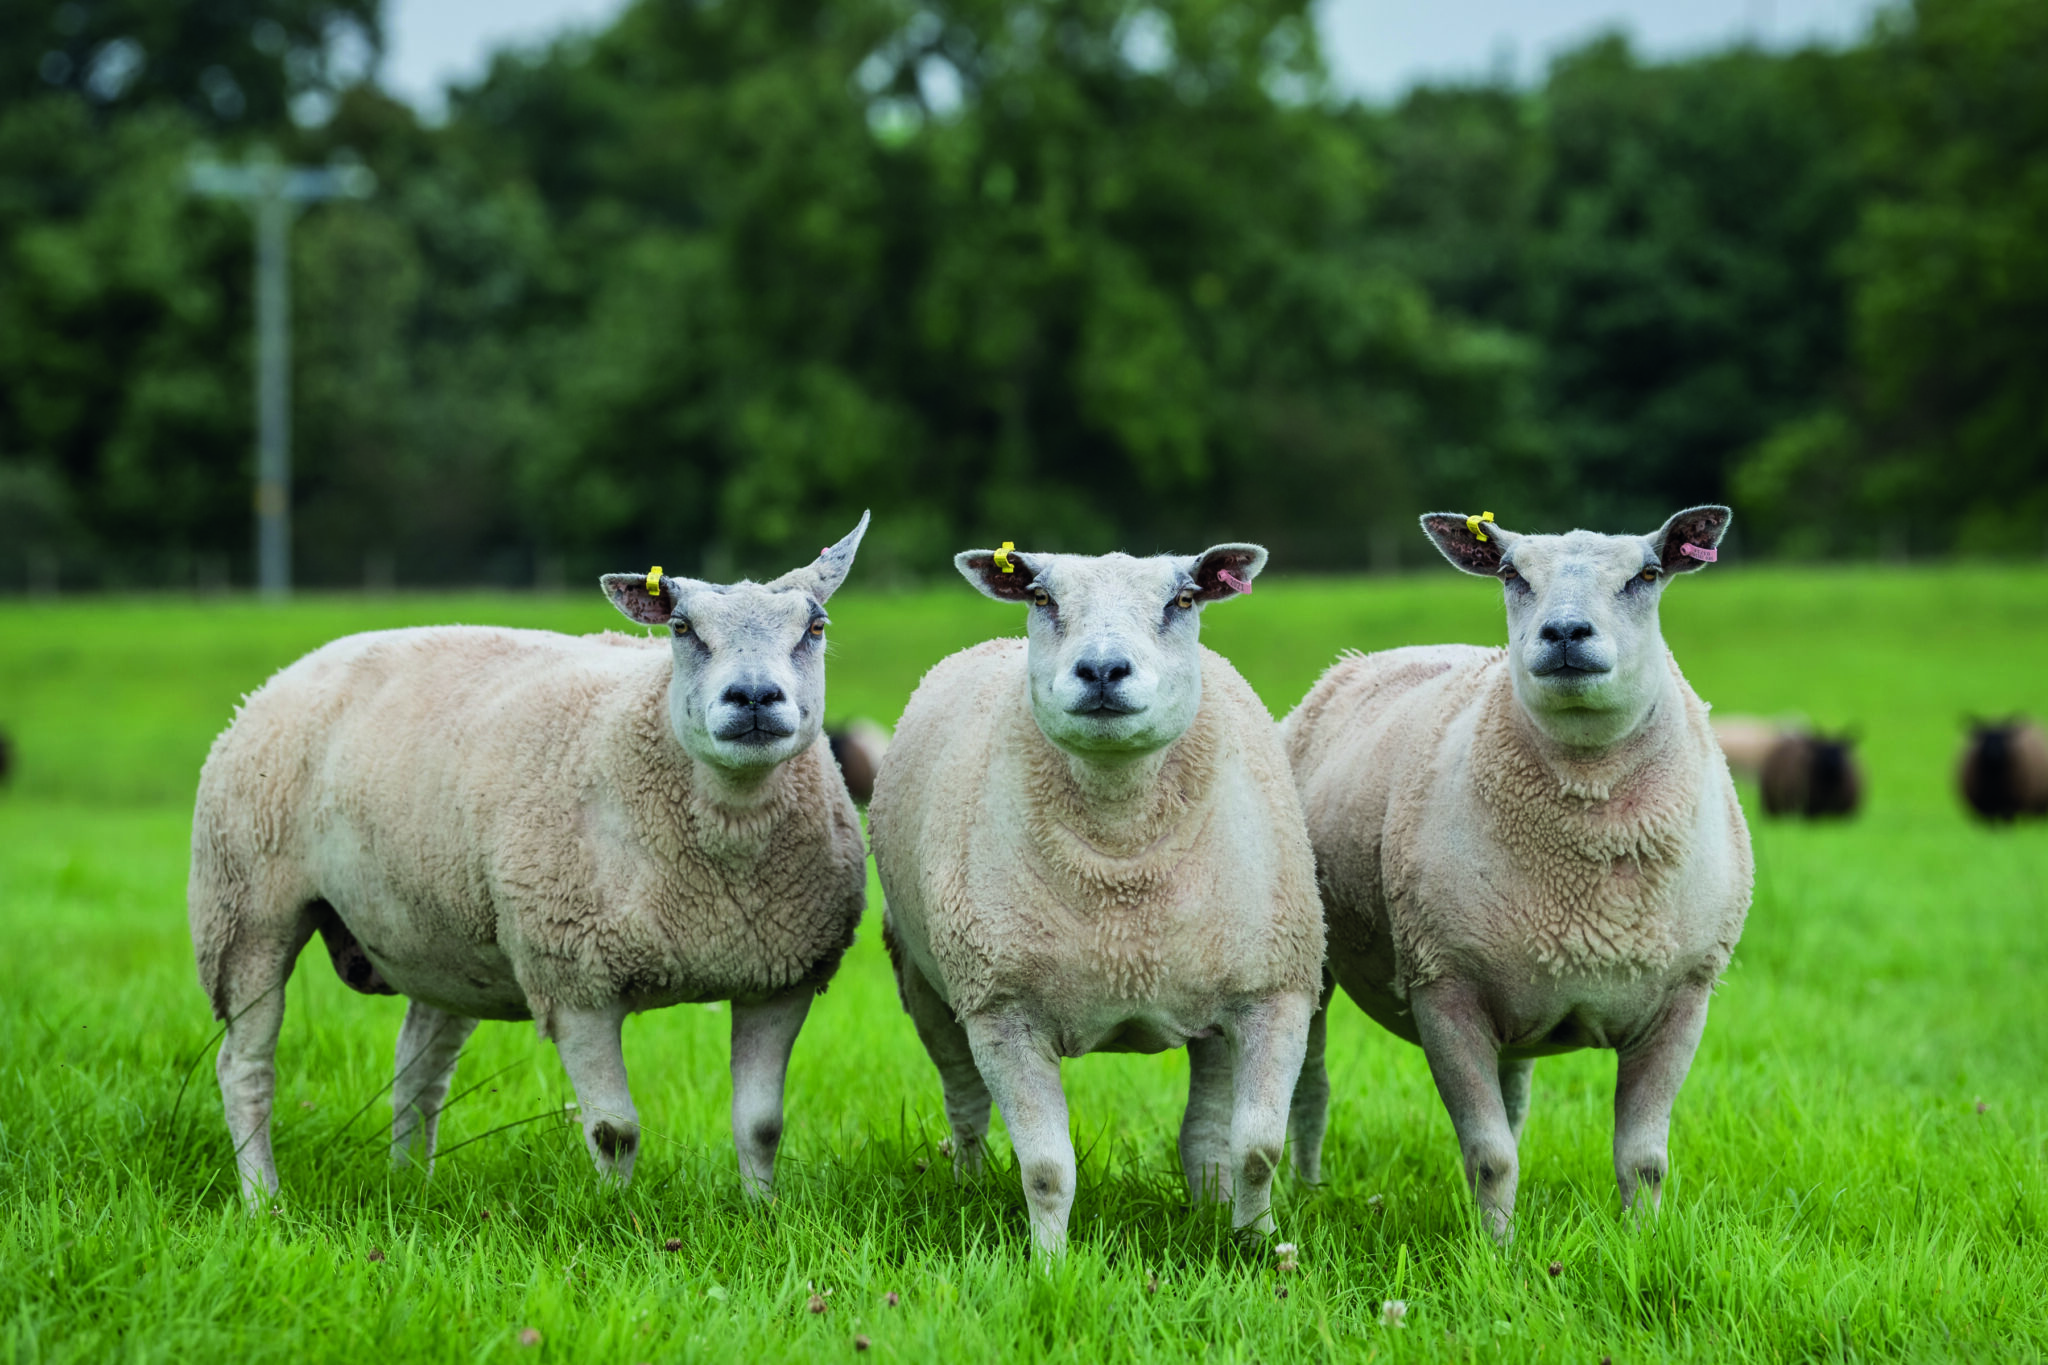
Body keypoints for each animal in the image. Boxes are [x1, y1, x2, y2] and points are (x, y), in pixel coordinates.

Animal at [188, 515, 872, 1207]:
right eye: (681, 627)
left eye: (815, 627)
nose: (754, 696)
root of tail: (294, 668)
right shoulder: (575, 979)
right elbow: (614, 1132)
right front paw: (616, 1216)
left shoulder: (780, 980)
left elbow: (760, 1125)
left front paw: (762, 1213)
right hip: (245, 907)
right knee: (245, 1067)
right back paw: (262, 1200)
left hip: (440, 936)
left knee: (418, 1071)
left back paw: (410, 1186)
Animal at [868, 544, 1324, 1258]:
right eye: (1042, 598)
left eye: (1183, 599)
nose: (1103, 670)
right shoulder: (1004, 1008)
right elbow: (1047, 1168)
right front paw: (1048, 1266)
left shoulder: (1275, 991)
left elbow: (1257, 1149)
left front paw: (1261, 1251)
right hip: (925, 982)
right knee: (964, 1106)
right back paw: (969, 1186)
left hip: (1218, 992)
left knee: (1207, 1131)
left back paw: (1211, 1207)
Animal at [1281, 507, 1753, 1239]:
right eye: (1510, 573)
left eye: (1648, 574)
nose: (1564, 633)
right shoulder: (1444, 987)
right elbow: (1490, 1155)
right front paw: (1496, 1251)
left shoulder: (1684, 995)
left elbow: (1644, 1160)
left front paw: (1642, 1242)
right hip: (1322, 950)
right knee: (1311, 1085)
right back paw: (1307, 1189)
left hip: (1523, 981)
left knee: (1514, 1095)